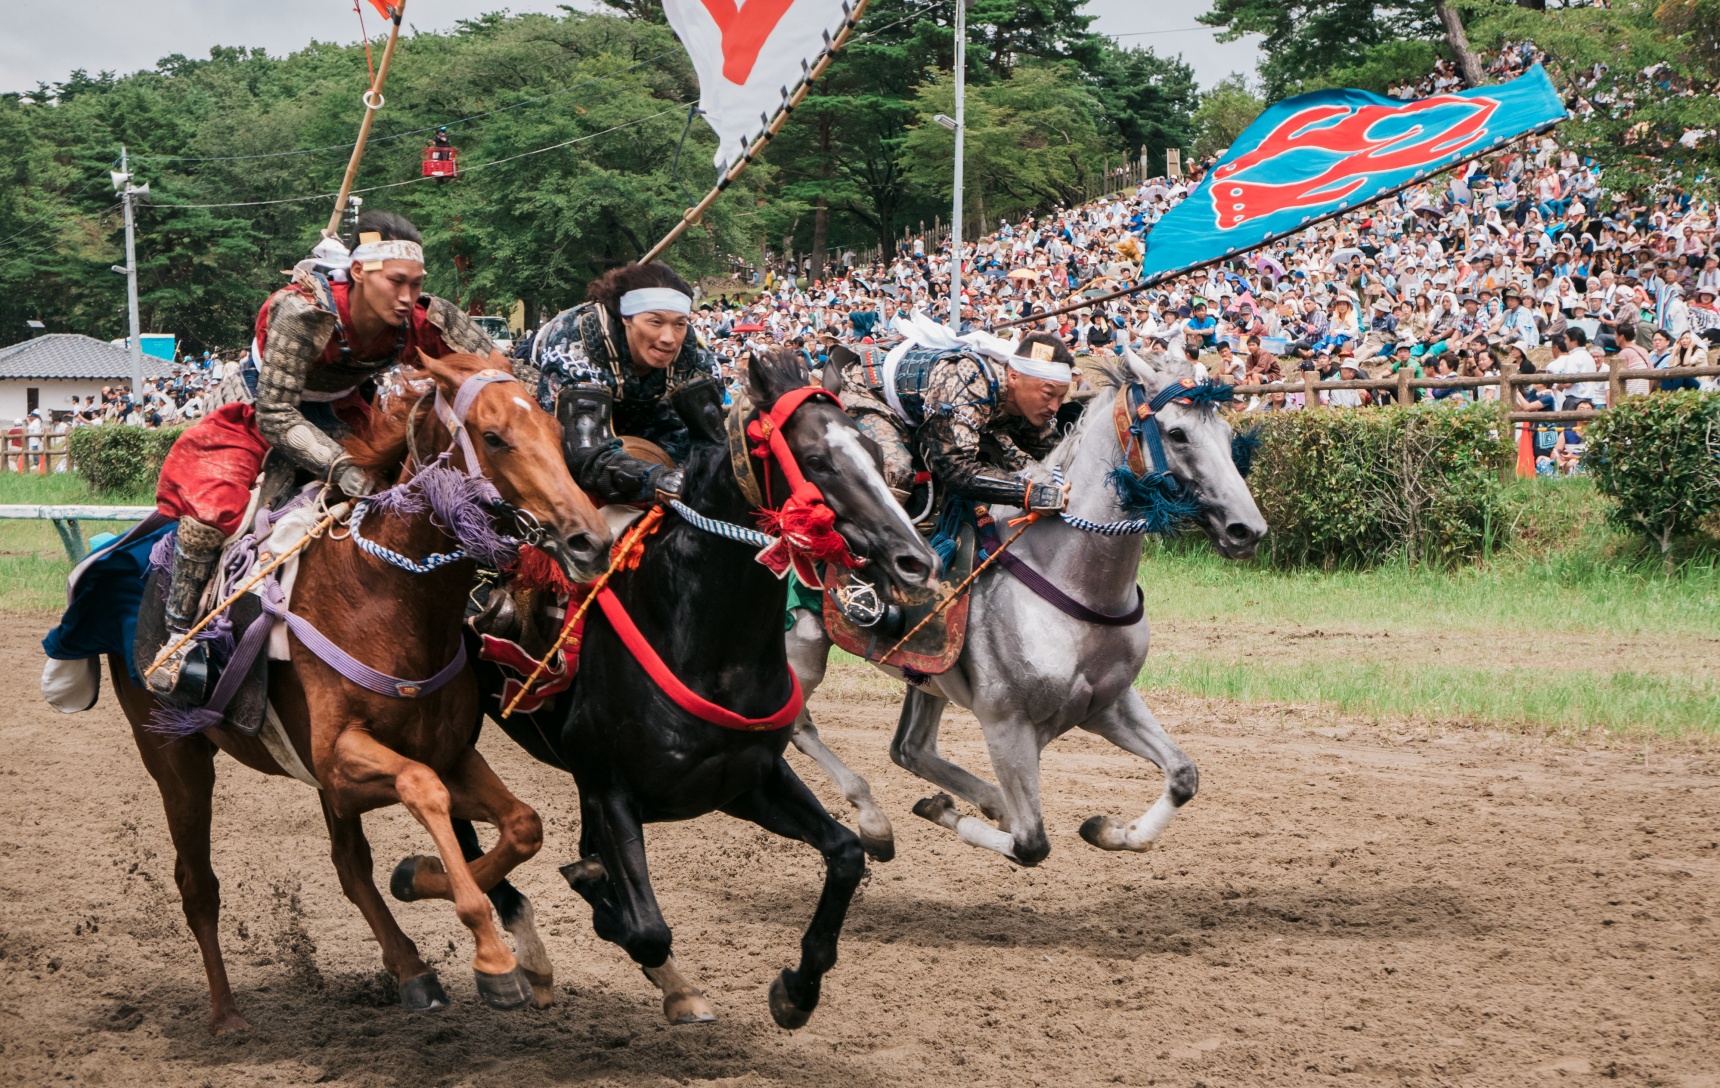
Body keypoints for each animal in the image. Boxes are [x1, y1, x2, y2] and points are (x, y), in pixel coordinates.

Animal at [105, 354, 605, 1038]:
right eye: (495, 437)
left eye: (557, 434)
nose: (589, 540)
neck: (388, 594)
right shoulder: (345, 761)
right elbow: (424, 788)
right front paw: (495, 959)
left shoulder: (439, 754)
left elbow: (521, 824)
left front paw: (420, 876)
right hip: (173, 757)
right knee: (197, 882)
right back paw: (226, 1013)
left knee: (348, 864)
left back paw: (411, 969)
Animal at [436, 350, 935, 1024]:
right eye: (816, 460)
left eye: (877, 453)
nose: (917, 561)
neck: (706, 647)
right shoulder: (608, 788)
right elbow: (642, 925)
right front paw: (602, 897)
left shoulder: (744, 781)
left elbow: (847, 855)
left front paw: (796, 990)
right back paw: (527, 957)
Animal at [787, 350, 1265, 866]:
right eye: (1177, 433)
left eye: (1228, 435)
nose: (1247, 530)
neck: (1071, 582)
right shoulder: (1007, 726)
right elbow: (1030, 843)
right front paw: (955, 814)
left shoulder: (1108, 705)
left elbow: (1183, 775)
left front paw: (1110, 830)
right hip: (803, 644)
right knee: (800, 725)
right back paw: (875, 819)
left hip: (928, 676)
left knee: (909, 749)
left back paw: (979, 800)